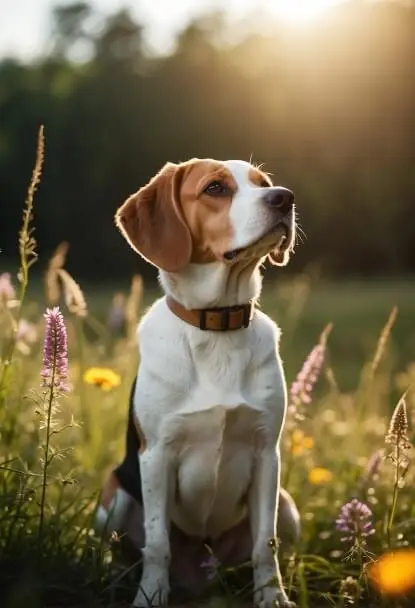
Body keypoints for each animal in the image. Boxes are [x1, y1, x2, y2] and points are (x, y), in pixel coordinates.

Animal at [96, 159, 300, 604]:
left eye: (264, 183)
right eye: (215, 189)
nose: (285, 198)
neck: (218, 324)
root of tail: (203, 574)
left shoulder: (267, 454)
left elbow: (265, 544)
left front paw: (272, 597)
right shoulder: (156, 455)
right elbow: (157, 544)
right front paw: (150, 596)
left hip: (288, 505)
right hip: (112, 497)